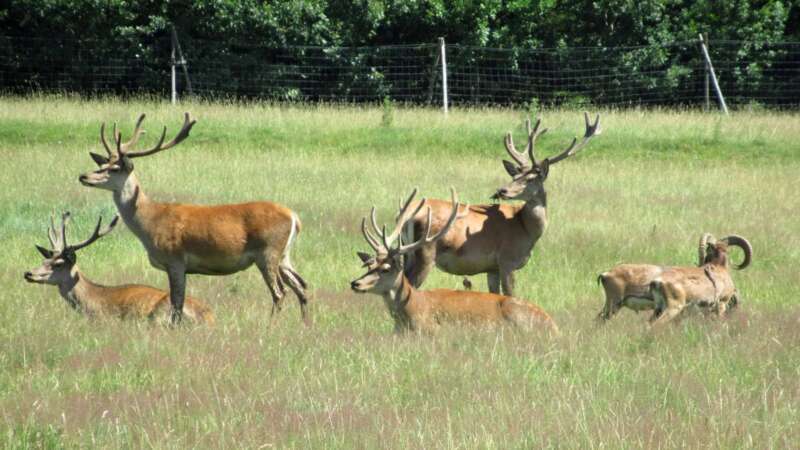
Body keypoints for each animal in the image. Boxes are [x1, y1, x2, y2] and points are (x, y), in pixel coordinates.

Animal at [23, 212, 214, 324]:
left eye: (58, 264)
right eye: (44, 260)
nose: (28, 273)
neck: (90, 302)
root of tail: (209, 317)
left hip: (161, 314)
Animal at [78, 111, 310, 324]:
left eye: (115, 168)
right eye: (102, 164)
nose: (83, 176)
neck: (150, 222)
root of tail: (294, 218)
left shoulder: (175, 259)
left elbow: (177, 304)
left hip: (268, 251)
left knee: (280, 292)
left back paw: (271, 325)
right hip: (284, 255)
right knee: (301, 285)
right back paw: (305, 324)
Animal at [350, 188, 556, 336]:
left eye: (386, 268)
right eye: (368, 265)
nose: (355, 283)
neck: (412, 309)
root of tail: (554, 326)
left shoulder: (434, 330)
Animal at [400, 112, 600, 296]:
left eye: (530, 178)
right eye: (515, 176)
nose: (502, 190)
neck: (525, 229)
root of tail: (407, 214)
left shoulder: (492, 268)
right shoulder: (507, 260)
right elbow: (511, 296)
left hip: (406, 253)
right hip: (425, 252)